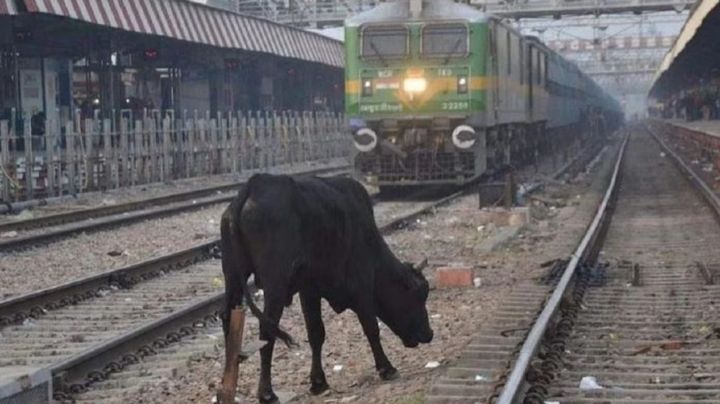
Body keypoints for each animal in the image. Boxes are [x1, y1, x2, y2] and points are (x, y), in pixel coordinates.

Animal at [220, 173, 433, 403]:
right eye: (419, 296)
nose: (429, 333)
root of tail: (254, 185)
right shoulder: (362, 284)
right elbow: (371, 328)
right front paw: (386, 368)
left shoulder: (309, 291)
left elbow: (316, 333)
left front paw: (318, 381)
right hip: (275, 284)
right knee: (267, 330)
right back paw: (266, 392)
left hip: (233, 276)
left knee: (228, 319)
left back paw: (227, 385)